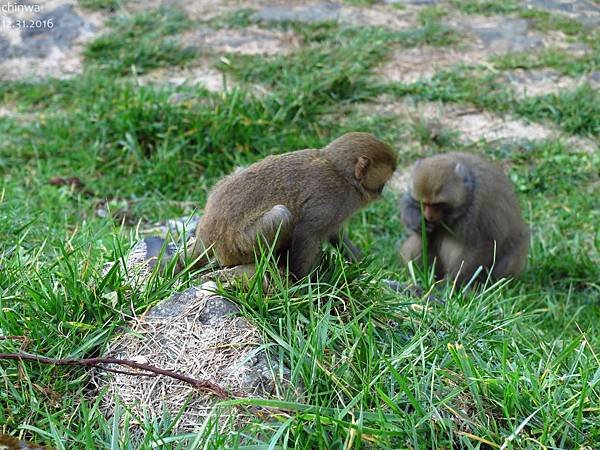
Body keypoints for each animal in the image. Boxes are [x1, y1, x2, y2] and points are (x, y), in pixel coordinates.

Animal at [190, 132, 396, 278]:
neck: (342, 174)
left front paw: (359, 262)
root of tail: (206, 236)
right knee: (280, 215)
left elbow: (334, 233)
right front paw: (305, 285)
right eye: (384, 180)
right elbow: (307, 232)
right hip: (237, 247)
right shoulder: (331, 198)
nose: (381, 192)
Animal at [400, 151, 528, 284]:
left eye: (437, 205)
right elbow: (408, 204)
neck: (468, 193)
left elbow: (483, 245)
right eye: (424, 204)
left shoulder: (479, 210)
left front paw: (453, 281)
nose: (429, 216)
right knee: (421, 239)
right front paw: (417, 221)